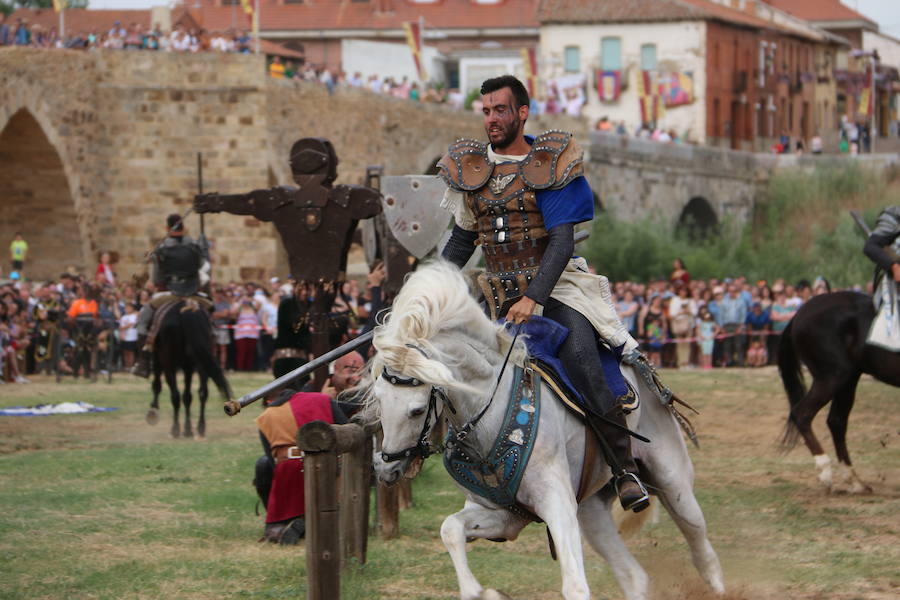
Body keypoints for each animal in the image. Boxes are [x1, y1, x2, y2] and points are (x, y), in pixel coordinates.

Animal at [147, 298, 232, 436]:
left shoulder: (162, 362)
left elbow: (160, 386)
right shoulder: (189, 368)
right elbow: (187, 396)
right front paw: (188, 429)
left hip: (168, 364)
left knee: (175, 395)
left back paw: (175, 428)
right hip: (202, 363)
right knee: (202, 392)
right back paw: (200, 427)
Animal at [366, 264, 724, 600]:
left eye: (416, 410)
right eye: (380, 400)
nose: (387, 467)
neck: (491, 412)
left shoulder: (557, 505)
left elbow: (576, 587)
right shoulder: (504, 515)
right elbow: (450, 529)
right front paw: (485, 592)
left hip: (672, 482)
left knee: (703, 552)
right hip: (592, 509)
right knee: (634, 576)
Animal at [776, 290, 896, 492]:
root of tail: (799, 313)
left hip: (849, 378)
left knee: (836, 421)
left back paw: (854, 480)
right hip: (834, 376)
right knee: (803, 413)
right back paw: (825, 470)